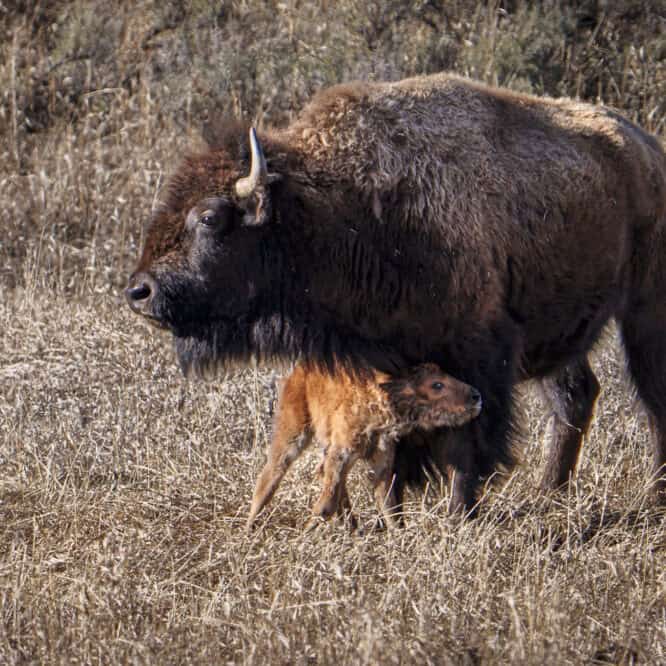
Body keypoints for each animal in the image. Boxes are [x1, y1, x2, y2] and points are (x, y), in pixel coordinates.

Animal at [126, 73, 666, 513]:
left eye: (210, 217)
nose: (140, 291)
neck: (338, 207)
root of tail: (648, 148)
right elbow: (394, 453)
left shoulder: (478, 355)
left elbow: (465, 444)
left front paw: (459, 516)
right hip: (560, 331)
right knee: (575, 397)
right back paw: (550, 496)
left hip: (645, 313)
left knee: (651, 401)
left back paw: (653, 498)